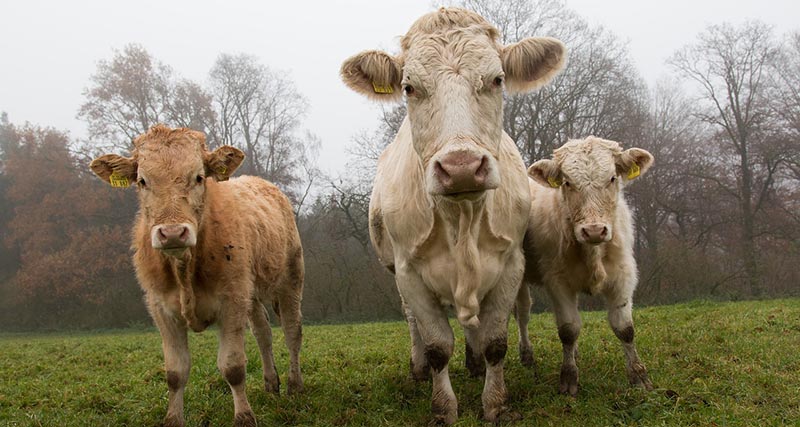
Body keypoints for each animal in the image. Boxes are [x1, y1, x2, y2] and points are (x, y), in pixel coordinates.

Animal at [340, 5, 564, 424]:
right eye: (409, 87)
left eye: (497, 79)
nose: (461, 167)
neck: (461, 218)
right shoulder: (409, 272)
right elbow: (437, 346)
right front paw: (444, 408)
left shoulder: (510, 263)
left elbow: (494, 341)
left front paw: (494, 403)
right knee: (413, 322)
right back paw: (417, 371)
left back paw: (474, 364)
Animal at [520, 137, 656, 398]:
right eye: (567, 182)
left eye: (612, 178)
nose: (594, 230)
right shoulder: (558, 281)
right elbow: (568, 329)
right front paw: (568, 378)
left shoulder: (623, 275)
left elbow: (625, 328)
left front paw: (639, 376)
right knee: (522, 315)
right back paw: (526, 354)